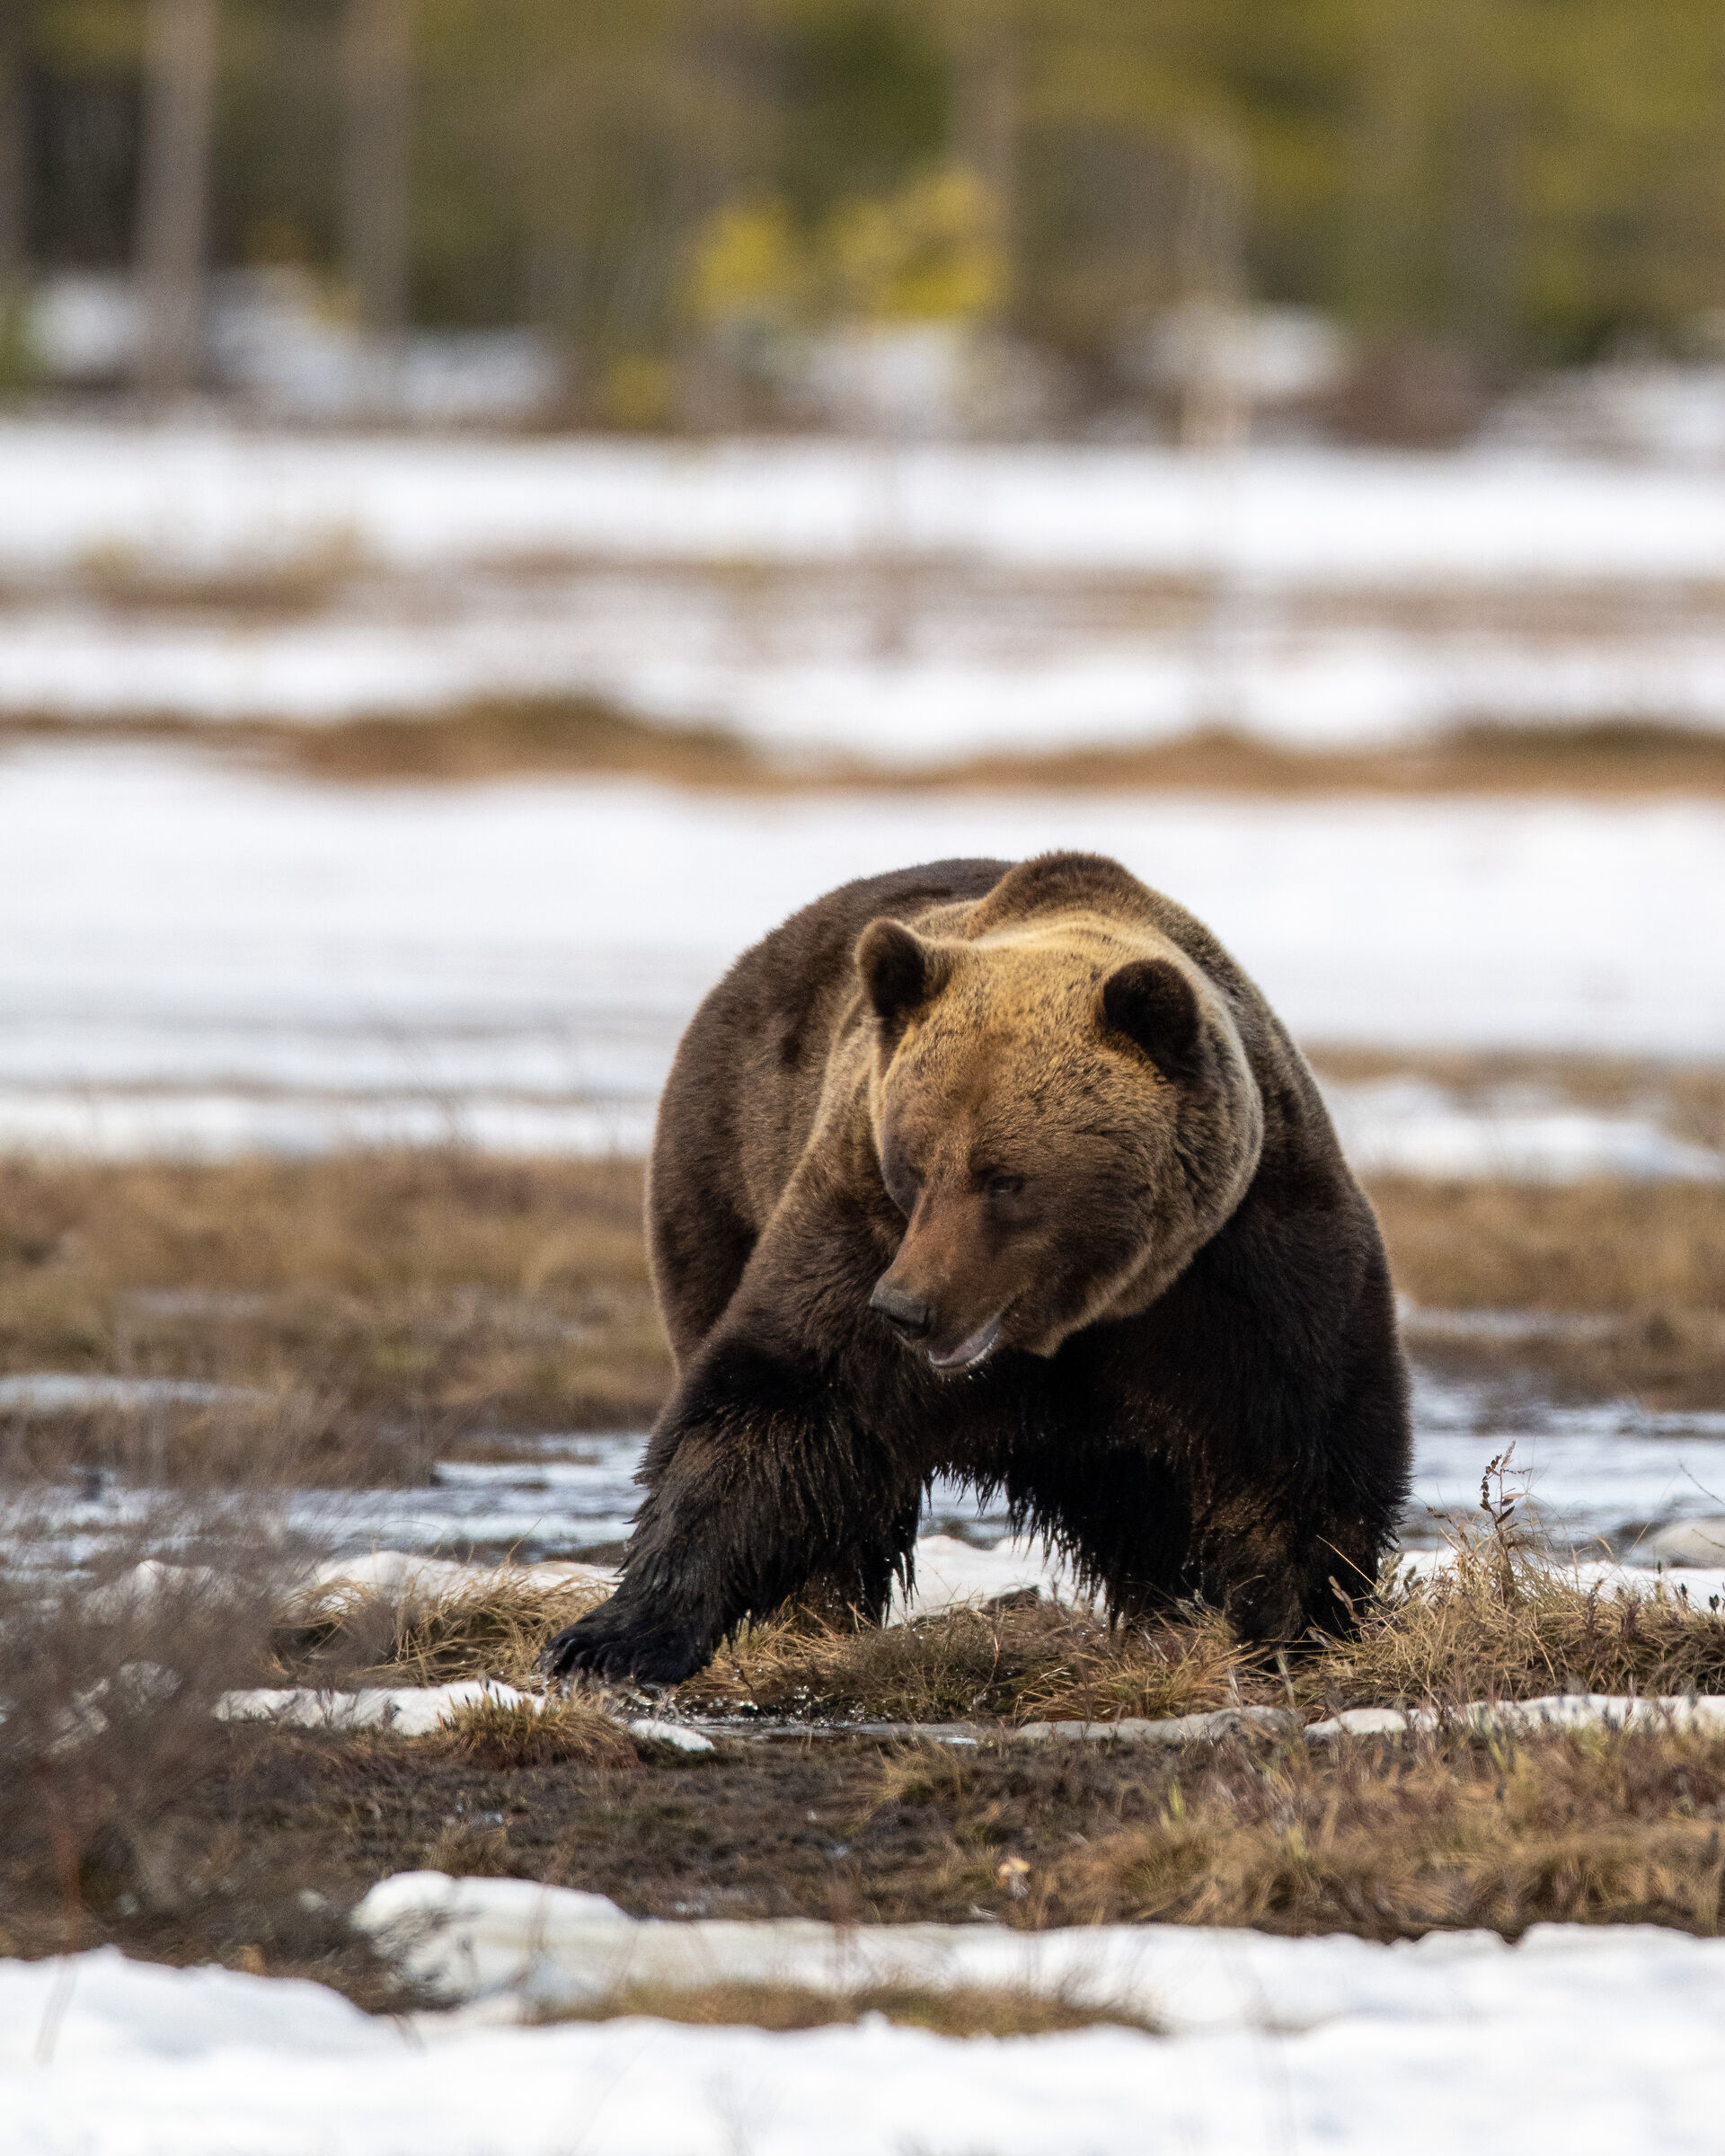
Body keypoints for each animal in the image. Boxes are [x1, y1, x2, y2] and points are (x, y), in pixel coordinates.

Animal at [546, 850, 1410, 1686]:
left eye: (1005, 1179)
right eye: (914, 1163)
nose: (907, 1308)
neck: (1077, 1318)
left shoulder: (1240, 1262)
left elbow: (1294, 1439)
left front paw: (1298, 1628)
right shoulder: (858, 1218)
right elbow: (780, 1405)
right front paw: (610, 1639)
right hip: (722, 1183)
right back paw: (822, 1614)